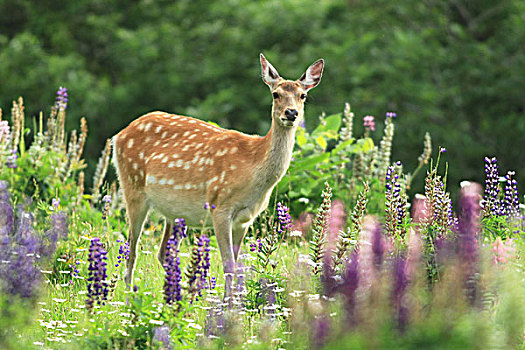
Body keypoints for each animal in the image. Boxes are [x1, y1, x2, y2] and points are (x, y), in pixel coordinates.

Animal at [112, 52, 322, 292]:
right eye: (275, 94)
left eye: (303, 95)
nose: (291, 113)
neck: (253, 166)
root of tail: (118, 136)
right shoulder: (220, 206)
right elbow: (228, 264)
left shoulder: (245, 219)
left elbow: (237, 266)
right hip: (133, 186)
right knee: (131, 248)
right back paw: (130, 296)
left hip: (173, 212)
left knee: (163, 252)